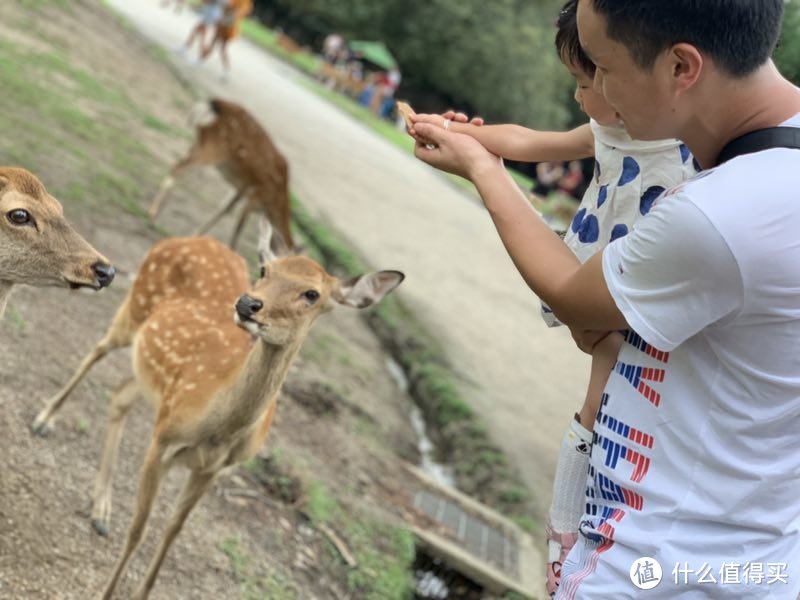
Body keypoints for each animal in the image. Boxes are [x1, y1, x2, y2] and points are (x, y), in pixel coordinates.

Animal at [32, 223, 406, 596]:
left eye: (312, 294)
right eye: (265, 270)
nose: (248, 303)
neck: (220, 429)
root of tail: (186, 238)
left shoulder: (212, 469)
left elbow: (173, 530)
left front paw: (142, 592)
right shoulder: (163, 440)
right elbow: (139, 528)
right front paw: (108, 593)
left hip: (151, 373)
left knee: (120, 394)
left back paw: (101, 510)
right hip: (134, 307)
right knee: (96, 351)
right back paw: (44, 420)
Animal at [146, 98, 294, 251]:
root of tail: (216, 104)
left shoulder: (240, 190)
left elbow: (224, 210)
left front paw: (195, 236)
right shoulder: (255, 195)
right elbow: (238, 227)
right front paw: (232, 250)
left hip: (200, 143)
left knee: (180, 164)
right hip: (214, 149)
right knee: (178, 168)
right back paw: (152, 215)